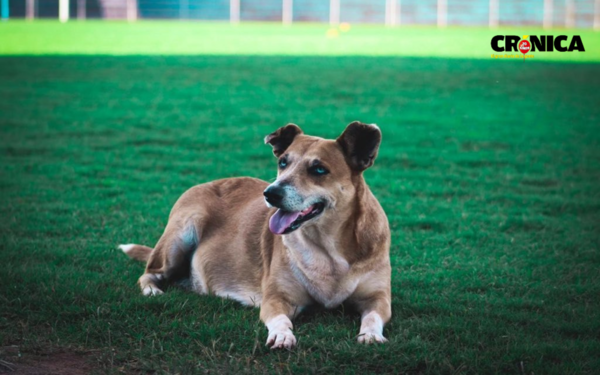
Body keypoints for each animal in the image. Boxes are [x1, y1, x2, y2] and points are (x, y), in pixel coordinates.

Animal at [119, 122, 392, 350]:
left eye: (318, 169)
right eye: (283, 162)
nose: (271, 193)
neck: (327, 246)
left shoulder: (378, 296)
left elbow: (374, 315)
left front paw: (370, 334)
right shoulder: (276, 297)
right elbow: (281, 319)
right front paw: (282, 335)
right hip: (181, 233)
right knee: (150, 271)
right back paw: (152, 290)